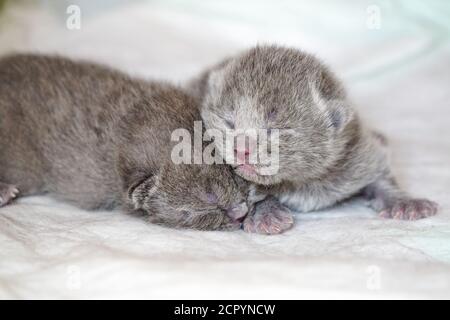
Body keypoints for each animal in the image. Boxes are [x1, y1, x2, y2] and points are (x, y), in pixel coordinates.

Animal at [188, 45, 438, 234]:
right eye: (229, 122)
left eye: (275, 130)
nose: (241, 149)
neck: (298, 183)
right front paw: (267, 214)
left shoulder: (354, 149)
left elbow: (379, 173)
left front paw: (405, 203)